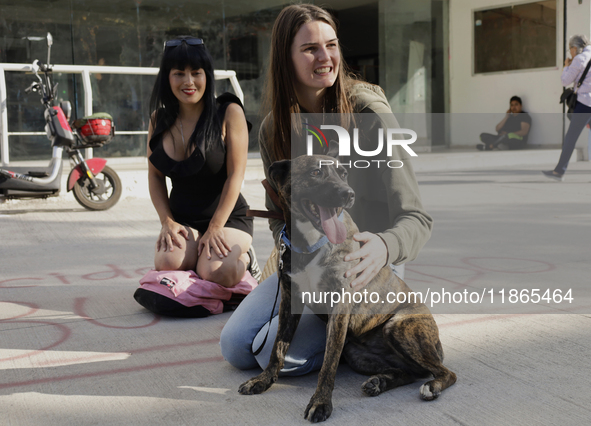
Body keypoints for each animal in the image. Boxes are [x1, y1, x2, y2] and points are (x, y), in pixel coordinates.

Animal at [240, 156, 458, 422]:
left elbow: (328, 363)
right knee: (409, 371)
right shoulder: (290, 300)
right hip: (357, 354)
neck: (311, 244)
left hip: (398, 327)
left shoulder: (339, 307)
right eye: (315, 172)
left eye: (344, 174)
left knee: (445, 372)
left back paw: (431, 386)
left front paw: (320, 402)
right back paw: (379, 382)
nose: (348, 194)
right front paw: (262, 381)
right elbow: (277, 349)